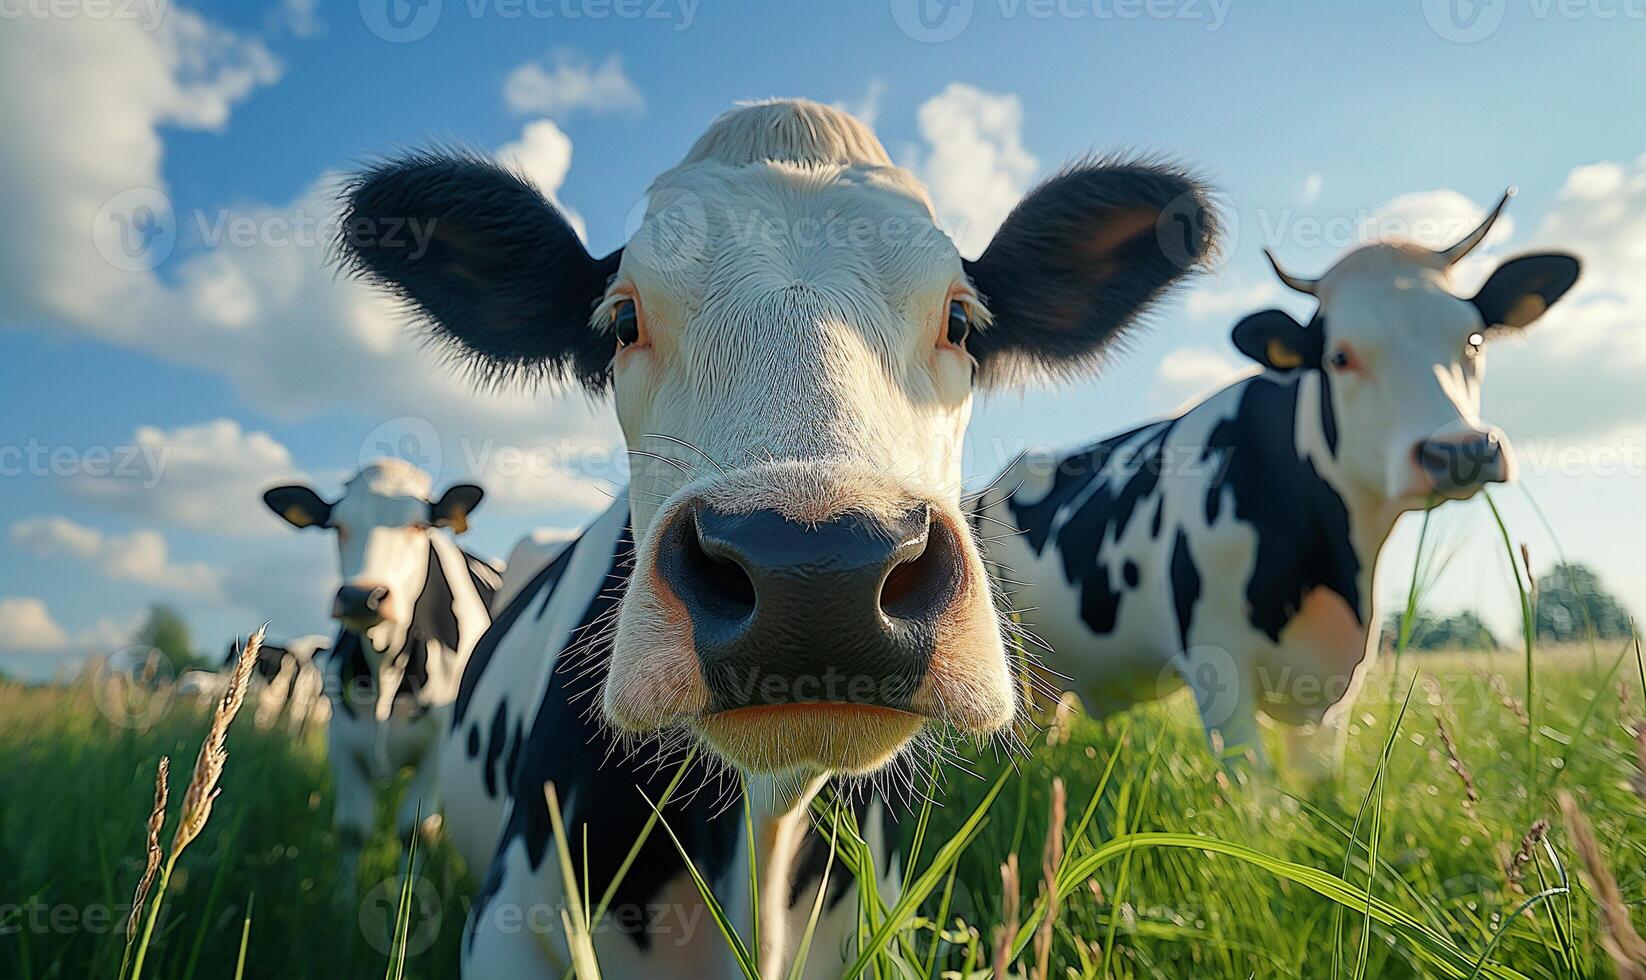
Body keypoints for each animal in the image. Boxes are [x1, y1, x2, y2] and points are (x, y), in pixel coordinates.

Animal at [263, 461, 500, 849]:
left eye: (419, 526)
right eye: (337, 526)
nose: (362, 596)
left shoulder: (438, 751)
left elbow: (415, 829)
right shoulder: (342, 739)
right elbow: (353, 828)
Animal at [974, 191, 1580, 774]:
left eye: (1474, 340)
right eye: (1339, 356)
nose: (1461, 450)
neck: (1331, 562)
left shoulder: (1336, 686)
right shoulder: (1217, 666)